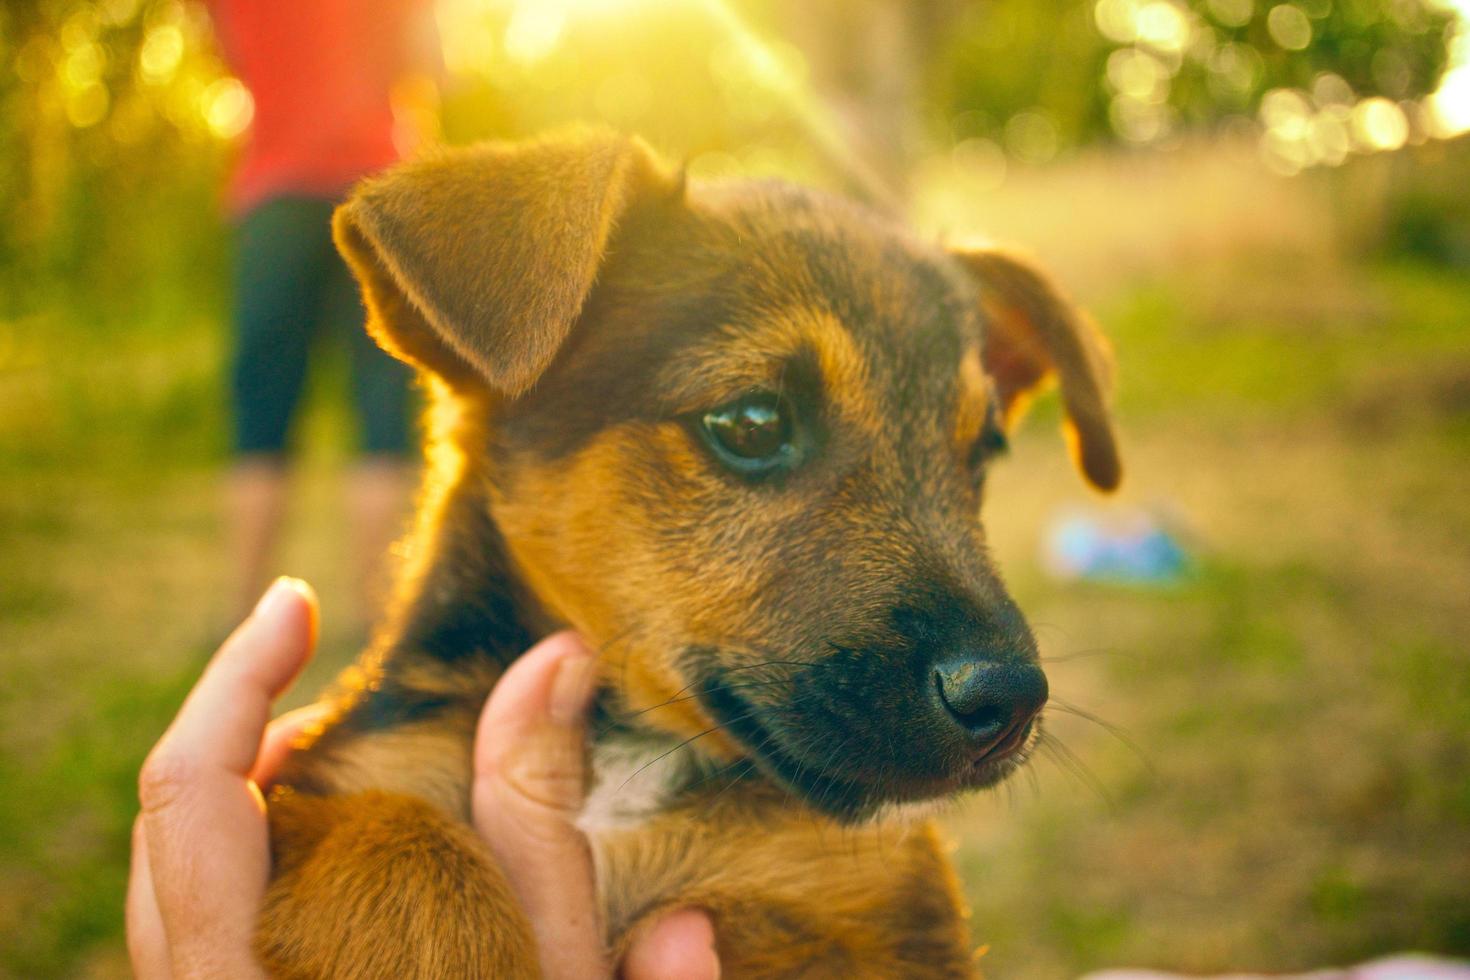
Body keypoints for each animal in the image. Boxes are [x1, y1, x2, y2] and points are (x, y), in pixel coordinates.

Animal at [258, 130, 1117, 980]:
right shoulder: (351, 775)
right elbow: (406, 843)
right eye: (752, 423)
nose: (1010, 701)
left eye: (982, 452)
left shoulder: (870, 904)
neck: (626, 759)